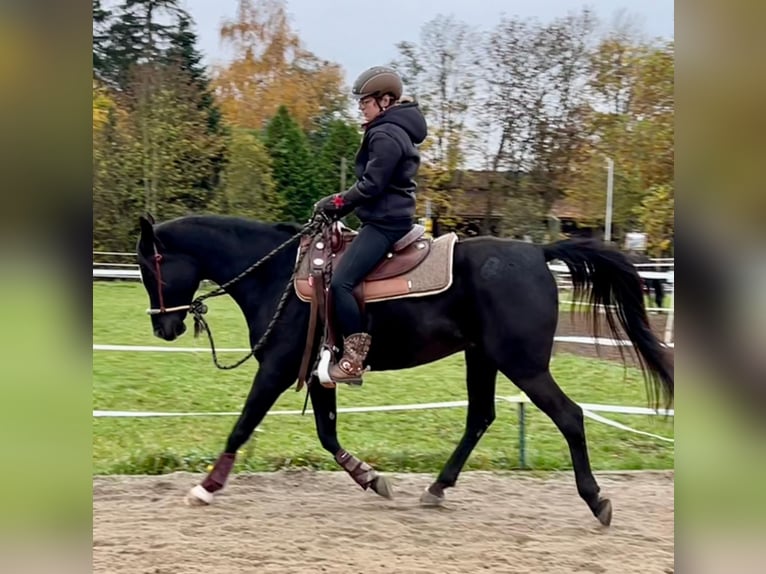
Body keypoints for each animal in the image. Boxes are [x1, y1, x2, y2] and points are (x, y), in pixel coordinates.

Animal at [136, 213, 672, 528]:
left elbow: (242, 426)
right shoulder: (318, 373)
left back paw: (597, 500)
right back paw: (436, 489)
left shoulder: (275, 369)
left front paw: (205, 488)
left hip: (522, 364)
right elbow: (328, 435)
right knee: (480, 417)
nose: (164, 327)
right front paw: (372, 478)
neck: (280, 276)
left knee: (569, 416)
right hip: (483, 358)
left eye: (148, 267)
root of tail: (537, 252)